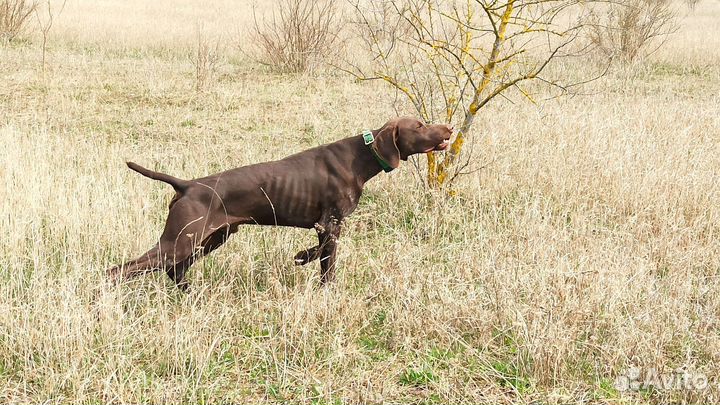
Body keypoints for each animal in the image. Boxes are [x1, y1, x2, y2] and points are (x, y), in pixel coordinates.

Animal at [105, 115, 456, 288]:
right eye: (419, 126)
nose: (450, 128)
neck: (361, 157)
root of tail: (187, 185)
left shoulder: (324, 227)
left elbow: (316, 254)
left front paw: (301, 257)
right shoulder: (330, 223)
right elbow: (327, 264)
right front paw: (325, 287)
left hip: (211, 239)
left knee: (174, 271)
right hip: (181, 241)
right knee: (120, 270)